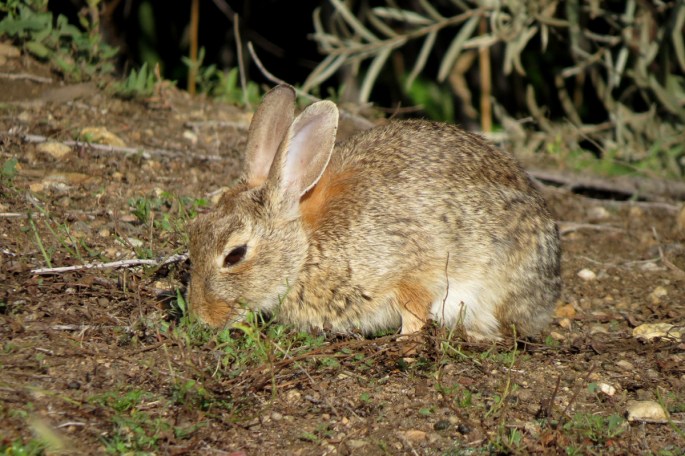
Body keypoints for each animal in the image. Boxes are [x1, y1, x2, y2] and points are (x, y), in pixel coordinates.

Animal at [187, 84, 561, 340]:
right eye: (194, 233)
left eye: (235, 255)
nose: (200, 318)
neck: (306, 249)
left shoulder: (411, 270)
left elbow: (415, 310)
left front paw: (405, 341)